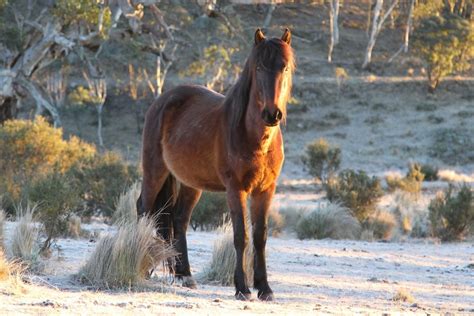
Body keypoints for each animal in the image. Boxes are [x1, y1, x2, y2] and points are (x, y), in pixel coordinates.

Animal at [135, 27, 294, 302]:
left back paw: (185, 275)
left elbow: (260, 236)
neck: (253, 138)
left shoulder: (266, 190)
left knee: (179, 219)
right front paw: (242, 288)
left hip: (190, 183)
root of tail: (163, 100)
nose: (272, 114)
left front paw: (264, 288)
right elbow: (240, 236)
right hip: (155, 171)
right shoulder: (235, 189)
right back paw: (143, 265)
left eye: (284, 67)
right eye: (259, 67)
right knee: (144, 210)